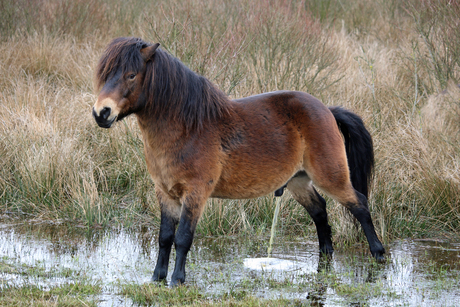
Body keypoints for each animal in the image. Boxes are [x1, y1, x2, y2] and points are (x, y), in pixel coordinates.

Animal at [92, 37, 384, 288]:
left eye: (131, 75)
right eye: (104, 75)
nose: (101, 113)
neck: (188, 127)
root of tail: (327, 111)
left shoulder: (195, 193)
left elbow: (183, 238)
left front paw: (177, 280)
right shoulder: (165, 193)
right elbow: (164, 237)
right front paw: (156, 278)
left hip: (330, 176)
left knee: (359, 205)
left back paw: (378, 254)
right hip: (298, 181)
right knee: (319, 210)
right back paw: (325, 256)